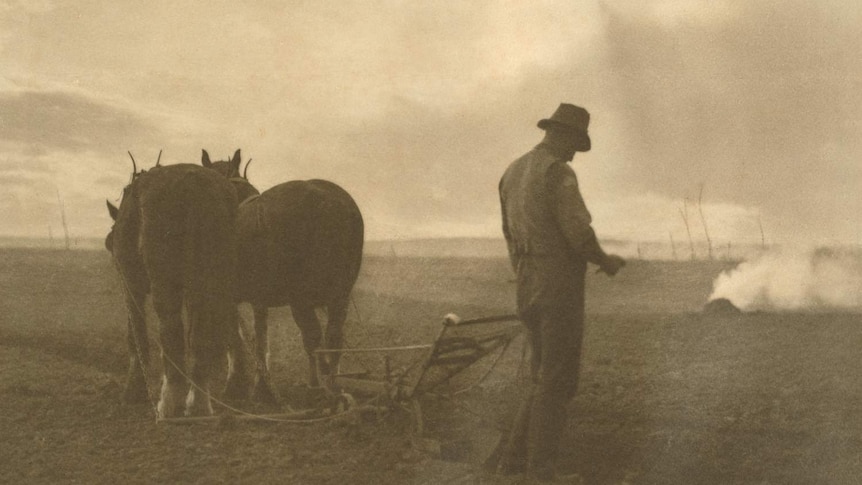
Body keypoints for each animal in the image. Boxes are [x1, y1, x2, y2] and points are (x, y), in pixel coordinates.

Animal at [107, 163, 246, 416]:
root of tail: (193, 184)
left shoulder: (131, 286)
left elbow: (136, 335)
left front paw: (134, 390)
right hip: (213, 276)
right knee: (202, 332)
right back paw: (200, 401)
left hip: (165, 282)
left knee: (170, 329)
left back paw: (170, 402)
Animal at [202, 149, 364, 398]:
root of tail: (333, 204)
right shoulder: (258, 299)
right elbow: (260, 338)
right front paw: (261, 386)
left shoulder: (228, 298)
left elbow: (234, 339)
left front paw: (235, 386)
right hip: (340, 295)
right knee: (333, 337)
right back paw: (332, 383)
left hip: (301, 297)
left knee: (313, 337)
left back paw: (318, 384)